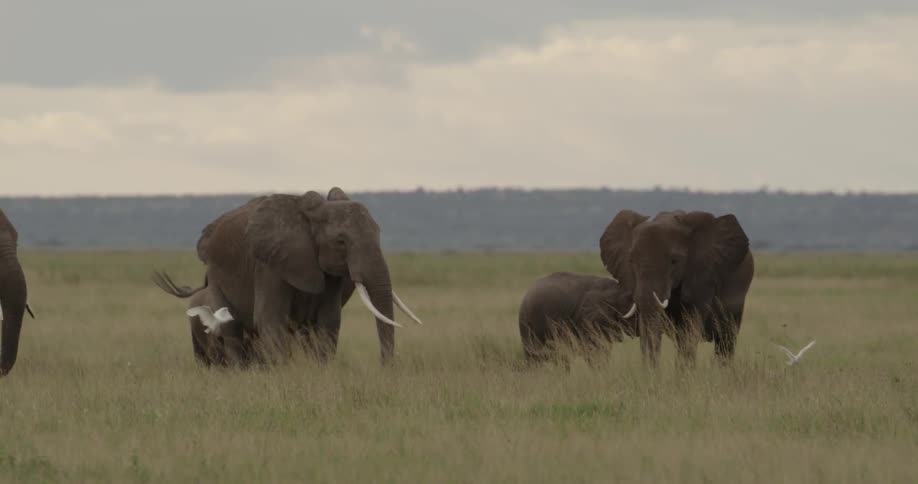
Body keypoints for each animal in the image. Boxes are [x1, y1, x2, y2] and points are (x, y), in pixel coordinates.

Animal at [153, 187, 423, 365]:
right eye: (341, 242)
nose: (386, 367)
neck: (311, 217)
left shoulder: (331, 273)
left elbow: (328, 321)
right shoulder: (269, 264)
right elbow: (270, 319)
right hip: (216, 277)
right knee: (231, 329)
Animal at [599, 210, 754, 367]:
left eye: (674, 261)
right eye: (631, 261)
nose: (652, 371)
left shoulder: (702, 276)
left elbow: (690, 327)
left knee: (726, 339)